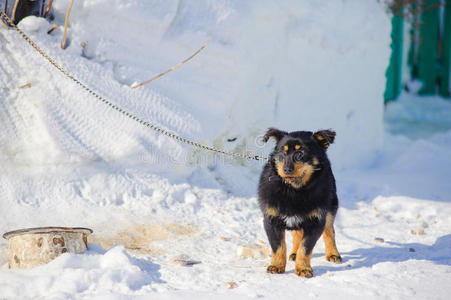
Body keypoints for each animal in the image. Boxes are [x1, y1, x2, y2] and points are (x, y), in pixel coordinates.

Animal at [258, 127, 342, 278]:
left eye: (301, 153)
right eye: (283, 152)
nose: (286, 170)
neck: (293, 189)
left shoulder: (316, 221)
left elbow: (306, 247)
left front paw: (303, 268)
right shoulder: (271, 220)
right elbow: (278, 246)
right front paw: (276, 266)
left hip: (331, 207)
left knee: (329, 231)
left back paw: (333, 254)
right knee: (297, 233)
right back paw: (294, 253)